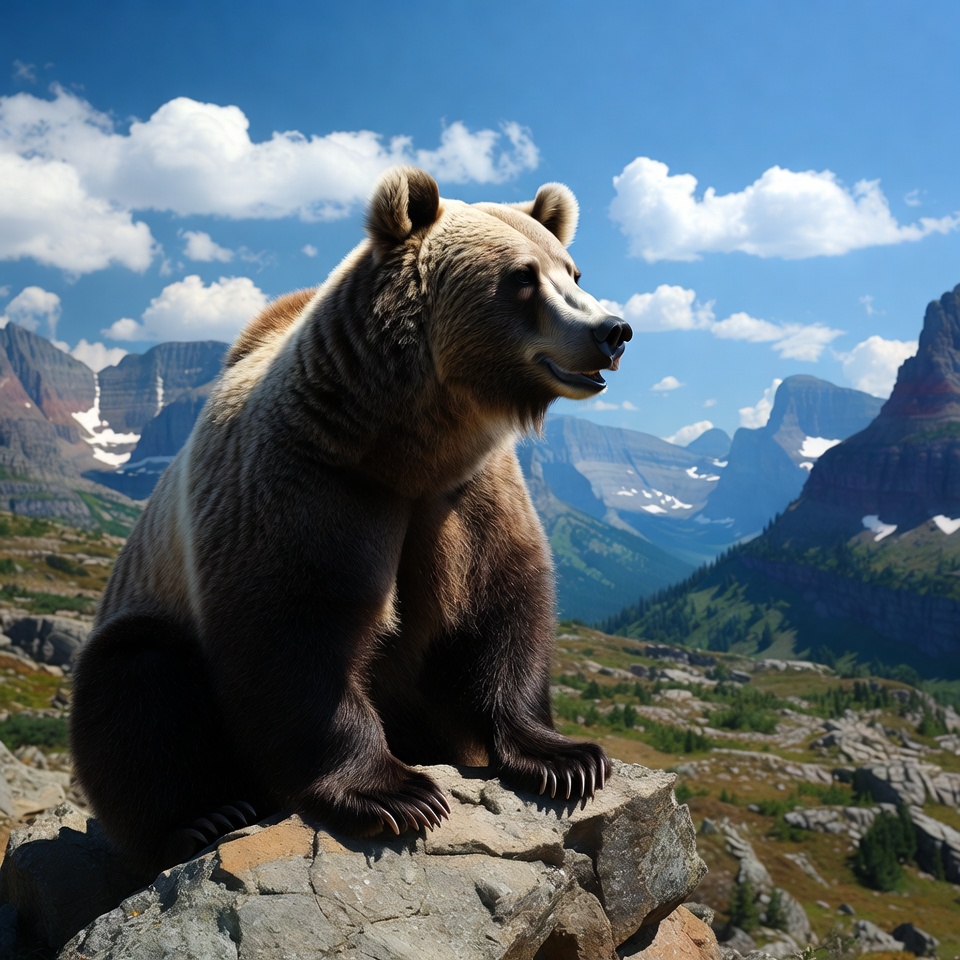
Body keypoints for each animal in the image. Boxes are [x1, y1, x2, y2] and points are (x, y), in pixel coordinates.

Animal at [69, 166, 632, 876]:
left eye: (573, 271)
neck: (409, 444)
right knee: (133, 680)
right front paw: (396, 795)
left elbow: (502, 606)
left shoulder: (472, 495)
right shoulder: (314, 482)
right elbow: (297, 630)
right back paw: (202, 818)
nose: (613, 330)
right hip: (146, 603)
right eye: (522, 277)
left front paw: (567, 759)